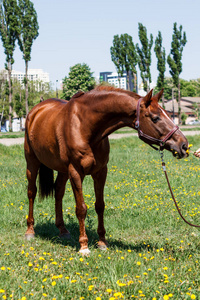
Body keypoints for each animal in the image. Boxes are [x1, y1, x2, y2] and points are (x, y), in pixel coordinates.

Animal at [24, 85, 188, 254]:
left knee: (58, 192)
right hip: (32, 163)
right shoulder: (76, 173)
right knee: (32, 192)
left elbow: (100, 206)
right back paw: (30, 231)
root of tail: (36, 110)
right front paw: (84, 246)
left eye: (168, 114)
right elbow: (81, 209)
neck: (84, 126)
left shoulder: (101, 172)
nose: (183, 145)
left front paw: (102, 242)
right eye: (155, 118)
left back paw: (62, 230)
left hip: (62, 170)